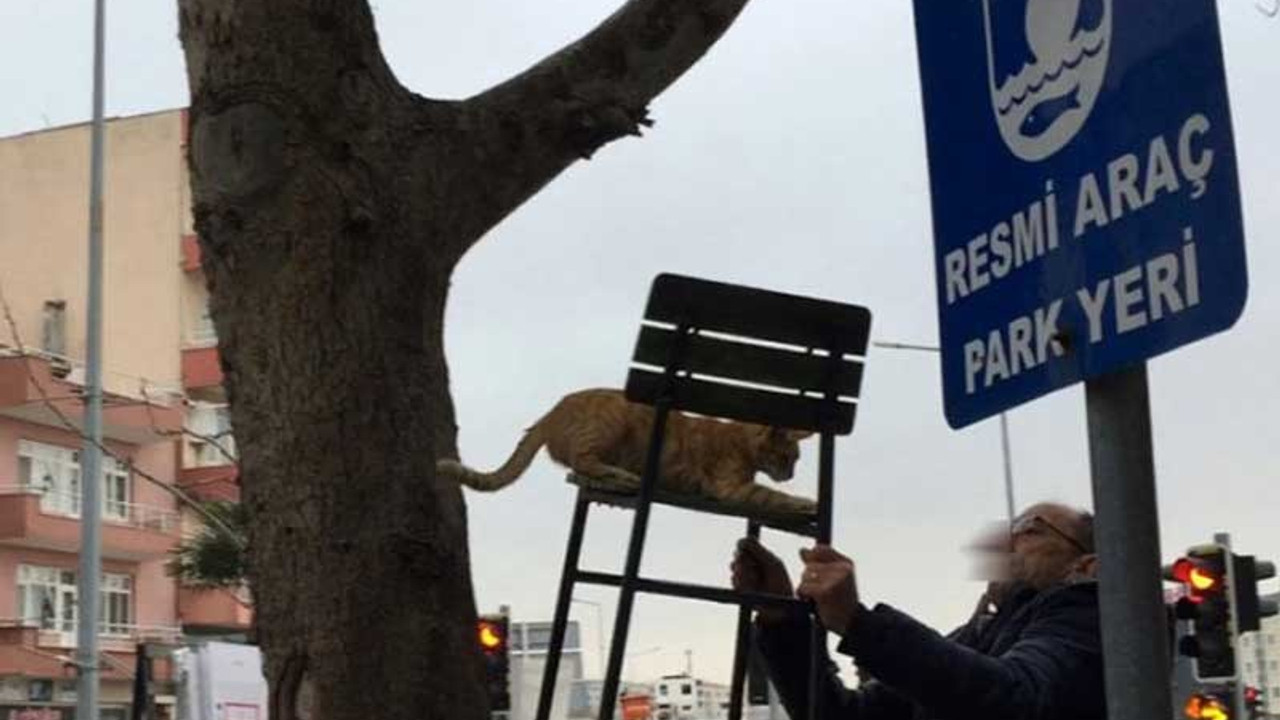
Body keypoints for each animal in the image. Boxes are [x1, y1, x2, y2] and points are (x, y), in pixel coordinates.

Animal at [440, 386, 814, 509]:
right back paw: (624, 476)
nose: (790, 473)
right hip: (612, 423)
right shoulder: (730, 487)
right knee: (583, 462)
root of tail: (550, 413)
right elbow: (775, 496)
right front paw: (807, 502)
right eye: (787, 457)